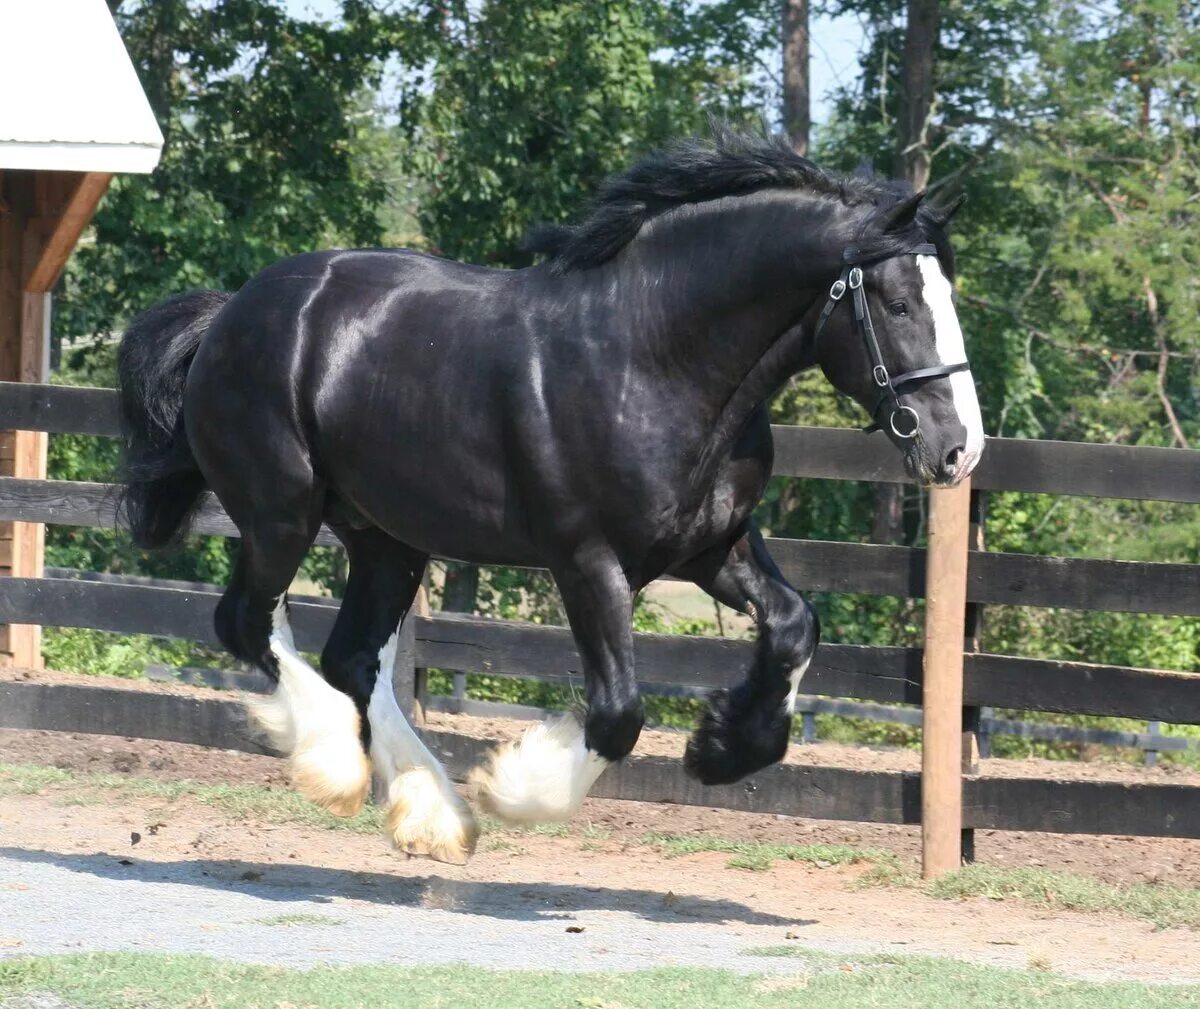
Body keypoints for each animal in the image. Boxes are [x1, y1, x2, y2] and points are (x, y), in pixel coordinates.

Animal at [117, 130, 984, 863]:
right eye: (899, 302)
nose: (958, 447)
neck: (651, 357)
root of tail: (228, 314)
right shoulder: (586, 560)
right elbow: (617, 711)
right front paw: (518, 784)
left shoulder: (712, 545)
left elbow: (796, 625)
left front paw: (721, 745)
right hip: (282, 511)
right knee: (248, 622)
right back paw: (340, 764)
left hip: (386, 538)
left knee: (353, 655)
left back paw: (433, 814)